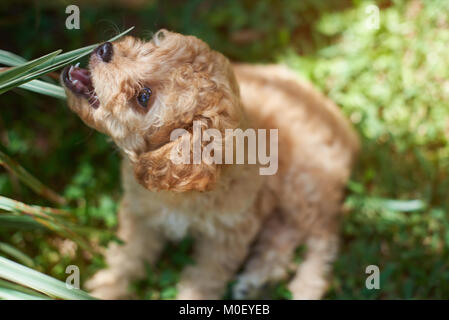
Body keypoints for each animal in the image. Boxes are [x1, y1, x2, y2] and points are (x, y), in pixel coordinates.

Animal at [61, 30, 358, 300]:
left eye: (143, 97)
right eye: (151, 45)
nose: (105, 49)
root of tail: (343, 125)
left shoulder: (227, 235)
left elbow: (203, 281)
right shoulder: (141, 214)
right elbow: (127, 255)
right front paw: (106, 288)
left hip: (304, 184)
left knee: (322, 237)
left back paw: (304, 288)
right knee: (284, 233)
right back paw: (254, 282)